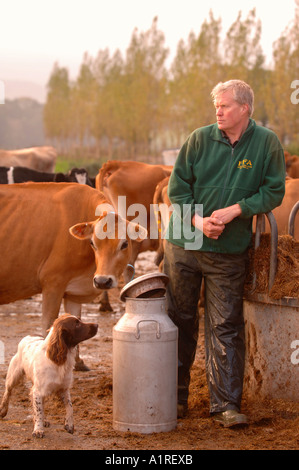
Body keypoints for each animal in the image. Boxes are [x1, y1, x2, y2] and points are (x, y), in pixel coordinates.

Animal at [0, 183, 146, 368]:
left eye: (125, 244)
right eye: (92, 243)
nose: (102, 281)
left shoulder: (73, 292)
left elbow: (76, 318)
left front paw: (77, 362)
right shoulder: (53, 283)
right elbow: (48, 323)